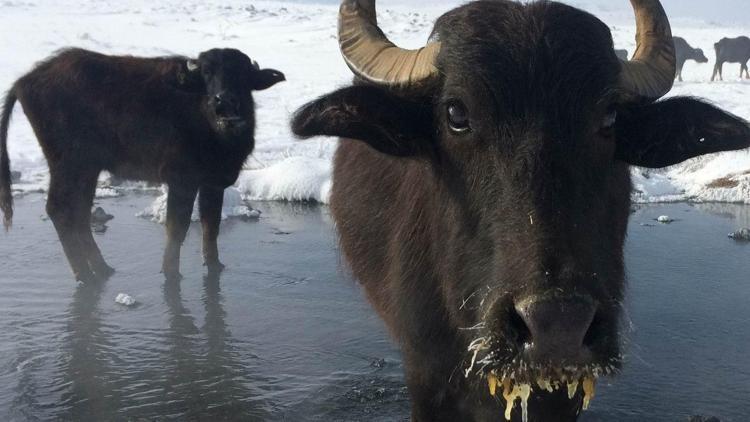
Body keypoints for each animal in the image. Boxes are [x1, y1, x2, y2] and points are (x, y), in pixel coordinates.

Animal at [0, 47, 286, 282]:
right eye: (207, 73)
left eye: (243, 74)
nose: (223, 101)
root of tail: (24, 81)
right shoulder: (182, 181)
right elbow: (177, 228)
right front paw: (171, 272)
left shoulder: (213, 184)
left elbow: (210, 227)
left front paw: (215, 266)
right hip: (68, 165)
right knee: (59, 210)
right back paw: (85, 275)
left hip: (87, 170)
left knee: (78, 213)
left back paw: (102, 269)